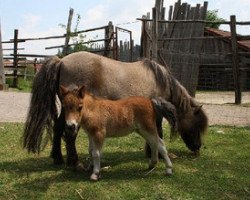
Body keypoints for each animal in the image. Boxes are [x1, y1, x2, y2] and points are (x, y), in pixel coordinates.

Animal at [23, 51, 207, 167]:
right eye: (197, 125)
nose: (198, 148)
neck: (159, 79)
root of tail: (61, 61)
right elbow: (158, 131)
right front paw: (156, 154)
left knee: (59, 128)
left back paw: (58, 158)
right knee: (69, 134)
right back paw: (74, 162)